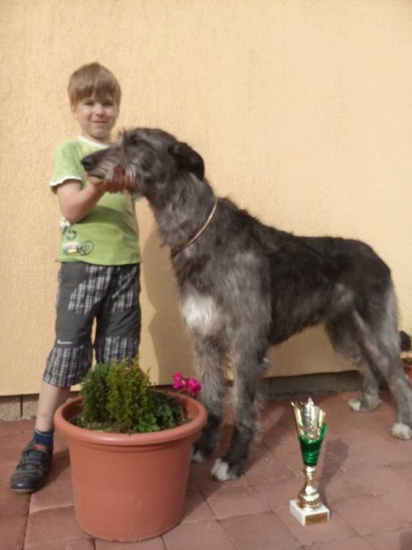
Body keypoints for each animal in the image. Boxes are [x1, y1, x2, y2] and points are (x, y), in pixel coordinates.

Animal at [82, 128, 412, 481]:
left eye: (136, 142)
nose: (86, 161)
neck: (200, 235)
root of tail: (377, 256)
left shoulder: (246, 343)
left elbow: (240, 407)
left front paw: (233, 460)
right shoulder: (204, 339)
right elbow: (212, 400)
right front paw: (203, 447)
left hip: (377, 328)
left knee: (397, 375)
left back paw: (403, 424)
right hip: (342, 332)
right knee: (366, 362)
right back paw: (369, 401)